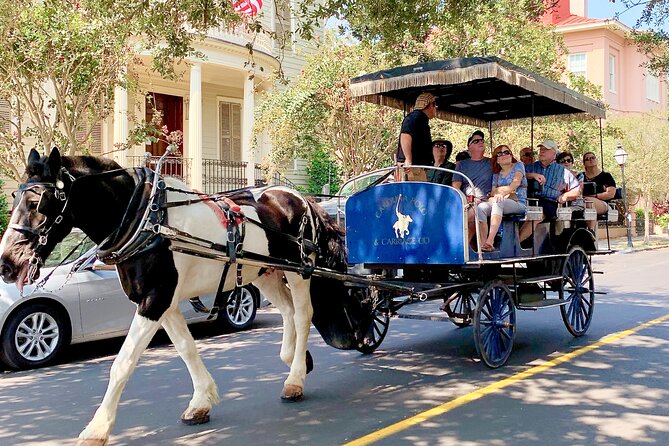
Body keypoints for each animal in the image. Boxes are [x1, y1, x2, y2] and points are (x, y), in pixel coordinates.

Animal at [0, 148, 370, 444]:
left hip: (299, 271)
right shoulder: (163, 302)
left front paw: (97, 428)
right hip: (264, 273)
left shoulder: (155, 298)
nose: (6, 264)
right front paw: (201, 401)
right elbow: (186, 348)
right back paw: (295, 359)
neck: (146, 220)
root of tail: (297, 196)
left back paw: (294, 380)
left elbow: (122, 364)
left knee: (304, 314)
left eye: (36, 202)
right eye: (14, 200)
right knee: (288, 312)